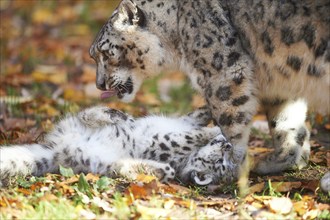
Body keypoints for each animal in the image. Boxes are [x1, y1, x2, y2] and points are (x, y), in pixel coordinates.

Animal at [1, 105, 236, 186]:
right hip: (74, 126)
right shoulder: (182, 122)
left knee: (120, 167)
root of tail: (60, 152)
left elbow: (188, 136)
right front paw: (214, 119)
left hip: (98, 163)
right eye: (221, 161)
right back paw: (115, 115)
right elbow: (193, 119)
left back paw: (162, 170)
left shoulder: (163, 141)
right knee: (87, 114)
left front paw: (215, 130)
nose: (228, 147)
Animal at [89, 0, 328, 175]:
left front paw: (230, 164)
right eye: (94, 55)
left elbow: (231, 123)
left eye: (105, 52)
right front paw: (284, 160)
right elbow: (285, 120)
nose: (99, 84)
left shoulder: (223, 74)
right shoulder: (280, 82)